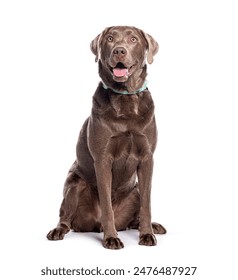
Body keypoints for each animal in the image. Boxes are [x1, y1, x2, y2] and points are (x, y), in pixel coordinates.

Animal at [46, 26, 165, 249]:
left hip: (134, 190)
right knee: (66, 218)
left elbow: (147, 203)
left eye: (133, 39)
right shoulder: (102, 159)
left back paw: (153, 226)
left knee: (135, 215)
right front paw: (111, 238)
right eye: (110, 39)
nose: (119, 50)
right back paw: (59, 230)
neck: (125, 98)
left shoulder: (147, 158)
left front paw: (147, 234)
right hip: (74, 184)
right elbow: (107, 205)